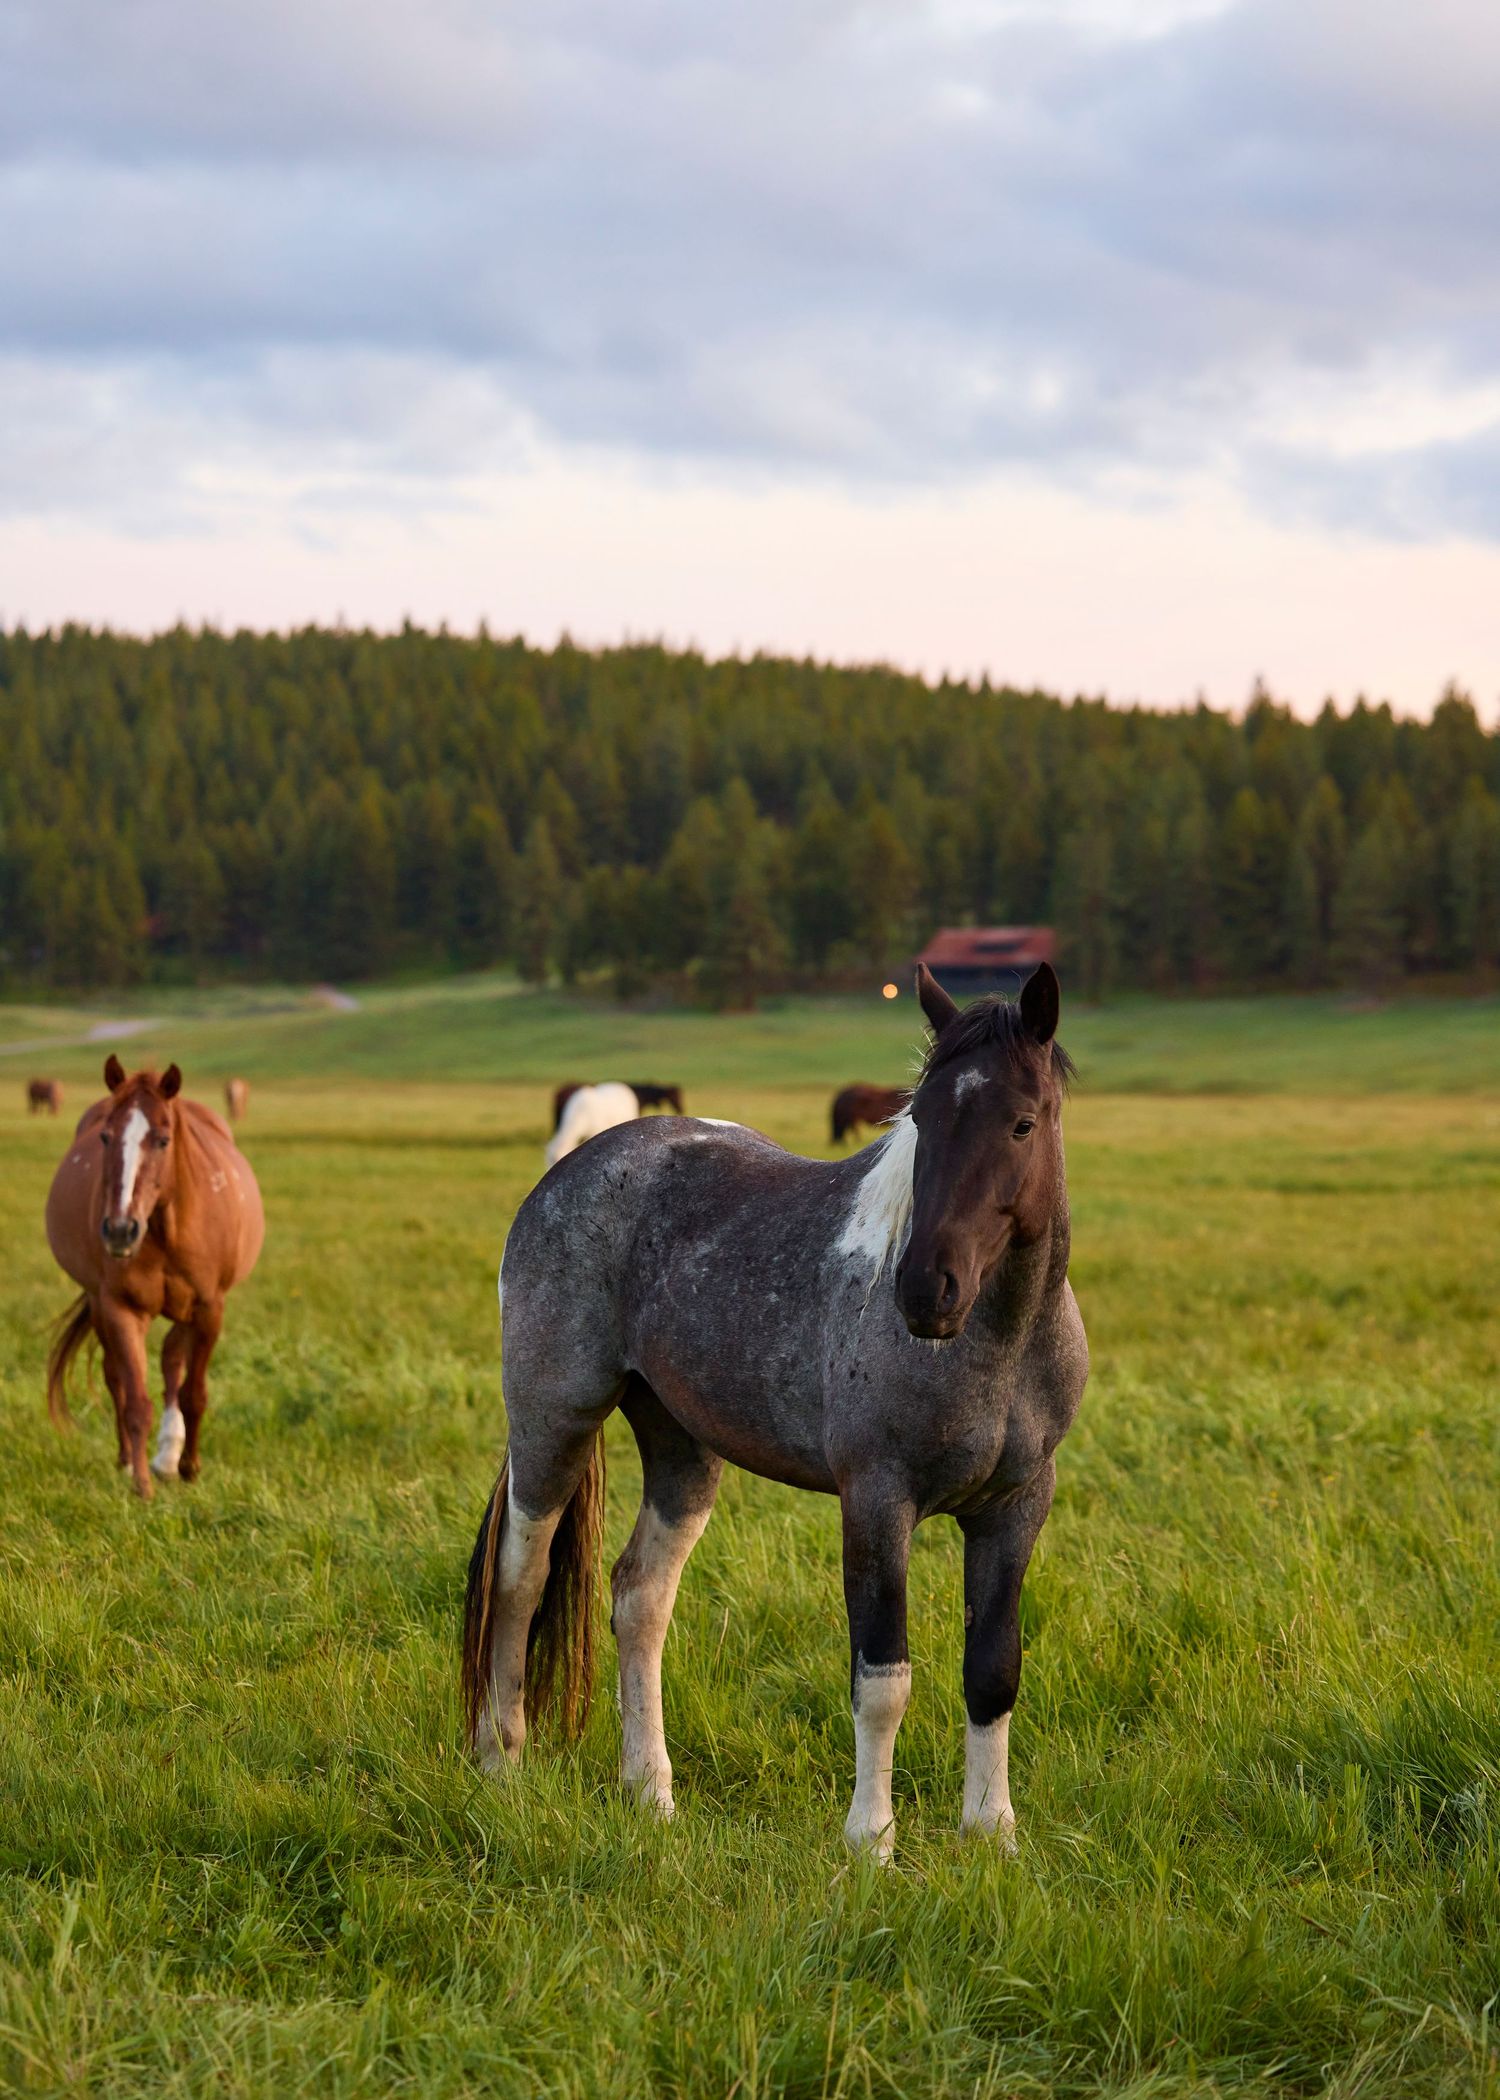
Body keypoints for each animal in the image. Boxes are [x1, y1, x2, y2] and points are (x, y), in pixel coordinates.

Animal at [45, 1057, 265, 1498]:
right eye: (106, 1137)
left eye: (163, 1140)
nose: (119, 1230)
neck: (165, 1228)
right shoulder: (120, 1307)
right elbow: (135, 1399)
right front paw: (142, 1485)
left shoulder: (209, 1308)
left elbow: (193, 1394)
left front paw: (189, 1467)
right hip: (99, 1303)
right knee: (117, 1376)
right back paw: (133, 1460)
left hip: (184, 1310)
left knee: (172, 1360)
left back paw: (168, 1455)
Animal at [464, 963, 1087, 1859]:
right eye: (922, 1116)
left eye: (1022, 1124)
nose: (923, 1290)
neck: (996, 1349)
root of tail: (573, 1167)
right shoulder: (877, 1502)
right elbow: (882, 1679)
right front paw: (871, 1842)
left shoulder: (1017, 1505)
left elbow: (993, 1670)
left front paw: (992, 1834)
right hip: (555, 1421)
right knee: (521, 1577)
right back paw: (501, 1764)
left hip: (681, 1448)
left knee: (639, 1597)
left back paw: (650, 1791)